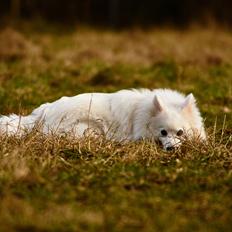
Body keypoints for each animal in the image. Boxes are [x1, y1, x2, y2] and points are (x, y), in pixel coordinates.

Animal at [0, 89, 207, 150]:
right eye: (163, 132)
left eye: (180, 132)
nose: (171, 149)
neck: (142, 113)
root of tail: (43, 112)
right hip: (88, 129)